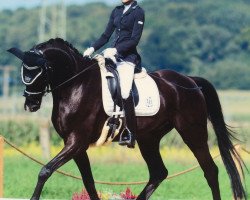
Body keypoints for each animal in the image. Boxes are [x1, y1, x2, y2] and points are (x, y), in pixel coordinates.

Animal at [8, 38, 246, 200]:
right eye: (24, 71)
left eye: (40, 71)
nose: (30, 104)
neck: (76, 85)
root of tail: (190, 81)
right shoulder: (75, 144)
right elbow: (88, 180)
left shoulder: (77, 141)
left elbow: (45, 170)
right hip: (149, 138)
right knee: (158, 172)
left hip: (192, 132)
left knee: (210, 170)